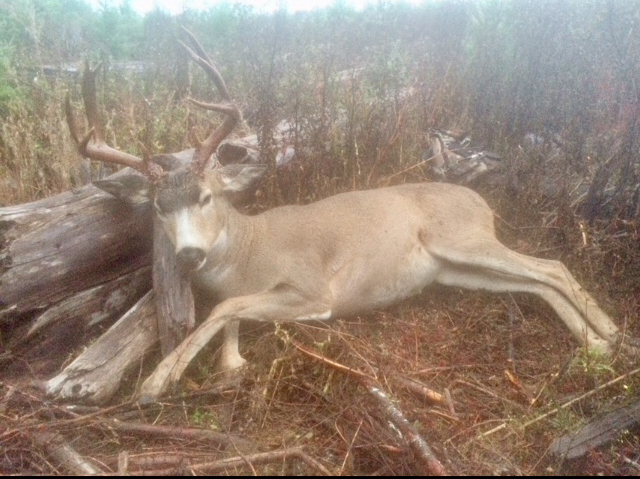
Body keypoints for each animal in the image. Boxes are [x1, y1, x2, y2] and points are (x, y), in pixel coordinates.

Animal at [67, 30, 628, 402]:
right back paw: (595, 347)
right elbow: (231, 312)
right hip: (455, 269)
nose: (187, 253)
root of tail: (482, 202)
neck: (248, 249)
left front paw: (156, 380)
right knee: (535, 282)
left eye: (205, 196)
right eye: (159, 207)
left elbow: (225, 307)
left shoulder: (315, 290)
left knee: (553, 266)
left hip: (460, 238)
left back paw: (613, 336)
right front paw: (229, 362)